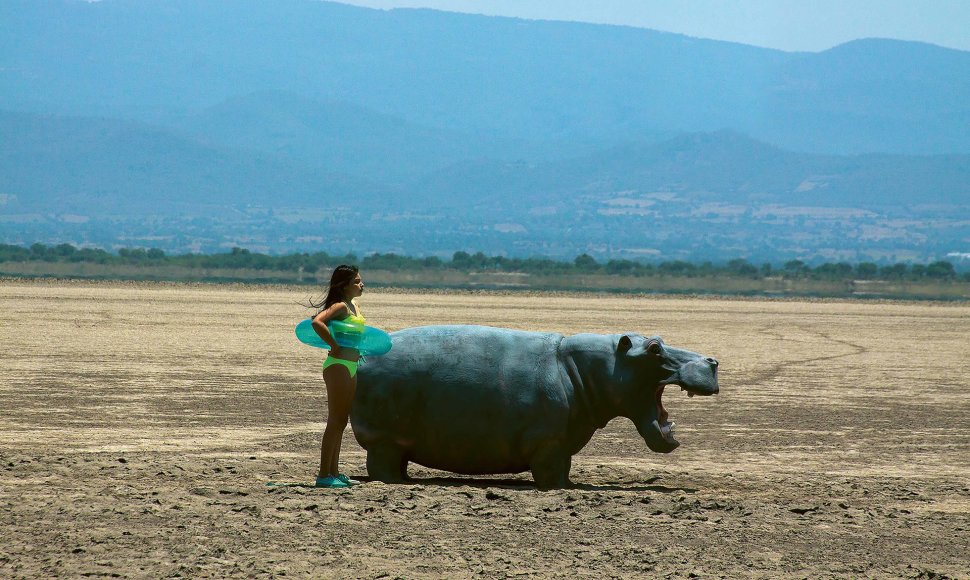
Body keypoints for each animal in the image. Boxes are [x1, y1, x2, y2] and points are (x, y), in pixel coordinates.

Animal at [352, 324, 716, 488]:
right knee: (382, 467)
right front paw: (561, 489)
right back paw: (398, 484)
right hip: (384, 439)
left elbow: (564, 469)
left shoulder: (563, 442)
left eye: (660, 340)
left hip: (396, 440)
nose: (712, 360)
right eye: (655, 348)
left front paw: (569, 486)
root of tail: (360, 357)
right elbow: (552, 473)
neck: (588, 369)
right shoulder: (550, 443)